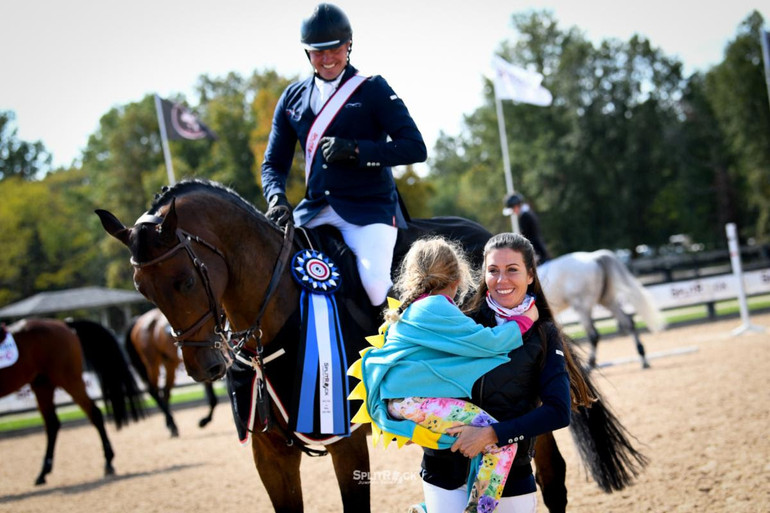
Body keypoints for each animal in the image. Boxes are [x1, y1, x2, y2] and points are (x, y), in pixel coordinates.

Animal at [0, 316, 143, 484]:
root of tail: (64, 323)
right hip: (42, 383)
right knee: (52, 423)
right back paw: (43, 472)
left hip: (67, 378)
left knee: (93, 413)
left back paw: (108, 462)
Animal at [124, 306, 218, 434]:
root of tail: (140, 320)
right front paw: (204, 421)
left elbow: (213, 397)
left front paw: (205, 420)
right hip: (152, 363)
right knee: (153, 390)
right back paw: (172, 425)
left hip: (169, 363)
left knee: (166, 392)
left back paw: (170, 424)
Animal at [536, 249, 664, 366]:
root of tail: (594, 256)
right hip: (607, 300)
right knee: (628, 322)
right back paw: (643, 357)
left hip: (582, 306)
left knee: (594, 335)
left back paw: (589, 365)